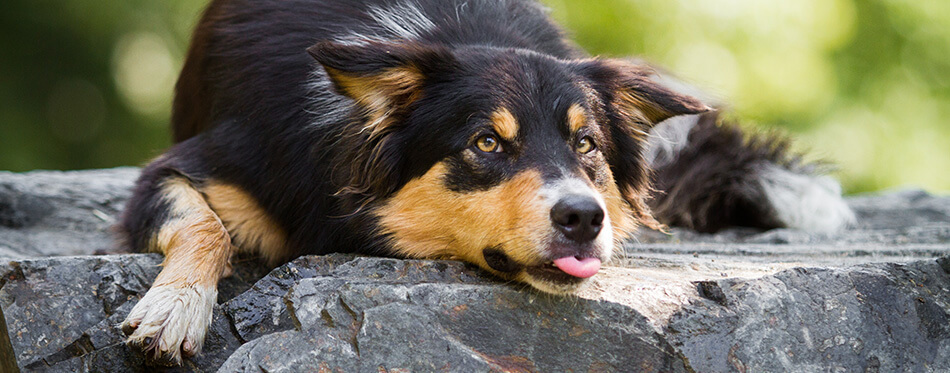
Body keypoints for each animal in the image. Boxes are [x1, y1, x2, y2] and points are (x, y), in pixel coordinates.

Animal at [119, 0, 856, 364]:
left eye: (586, 144)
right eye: (486, 143)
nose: (584, 217)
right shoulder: (194, 165)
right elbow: (204, 225)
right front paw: (174, 310)